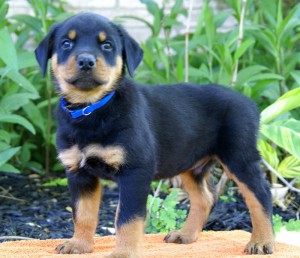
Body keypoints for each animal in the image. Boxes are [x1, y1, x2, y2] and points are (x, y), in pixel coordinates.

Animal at [35, 12, 274, 258]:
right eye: (66, 43)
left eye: (107, 45)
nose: (85, 61)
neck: (91, 109)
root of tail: (250, 103)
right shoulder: (78, 172)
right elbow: (82, 214)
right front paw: (79, 244)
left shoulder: (135, 170)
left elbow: (127, 218)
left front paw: (124, 253)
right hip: (190, 162)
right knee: (205, 198)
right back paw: (186, 234)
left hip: (239, 156)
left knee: (261, 195)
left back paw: (261, 241)